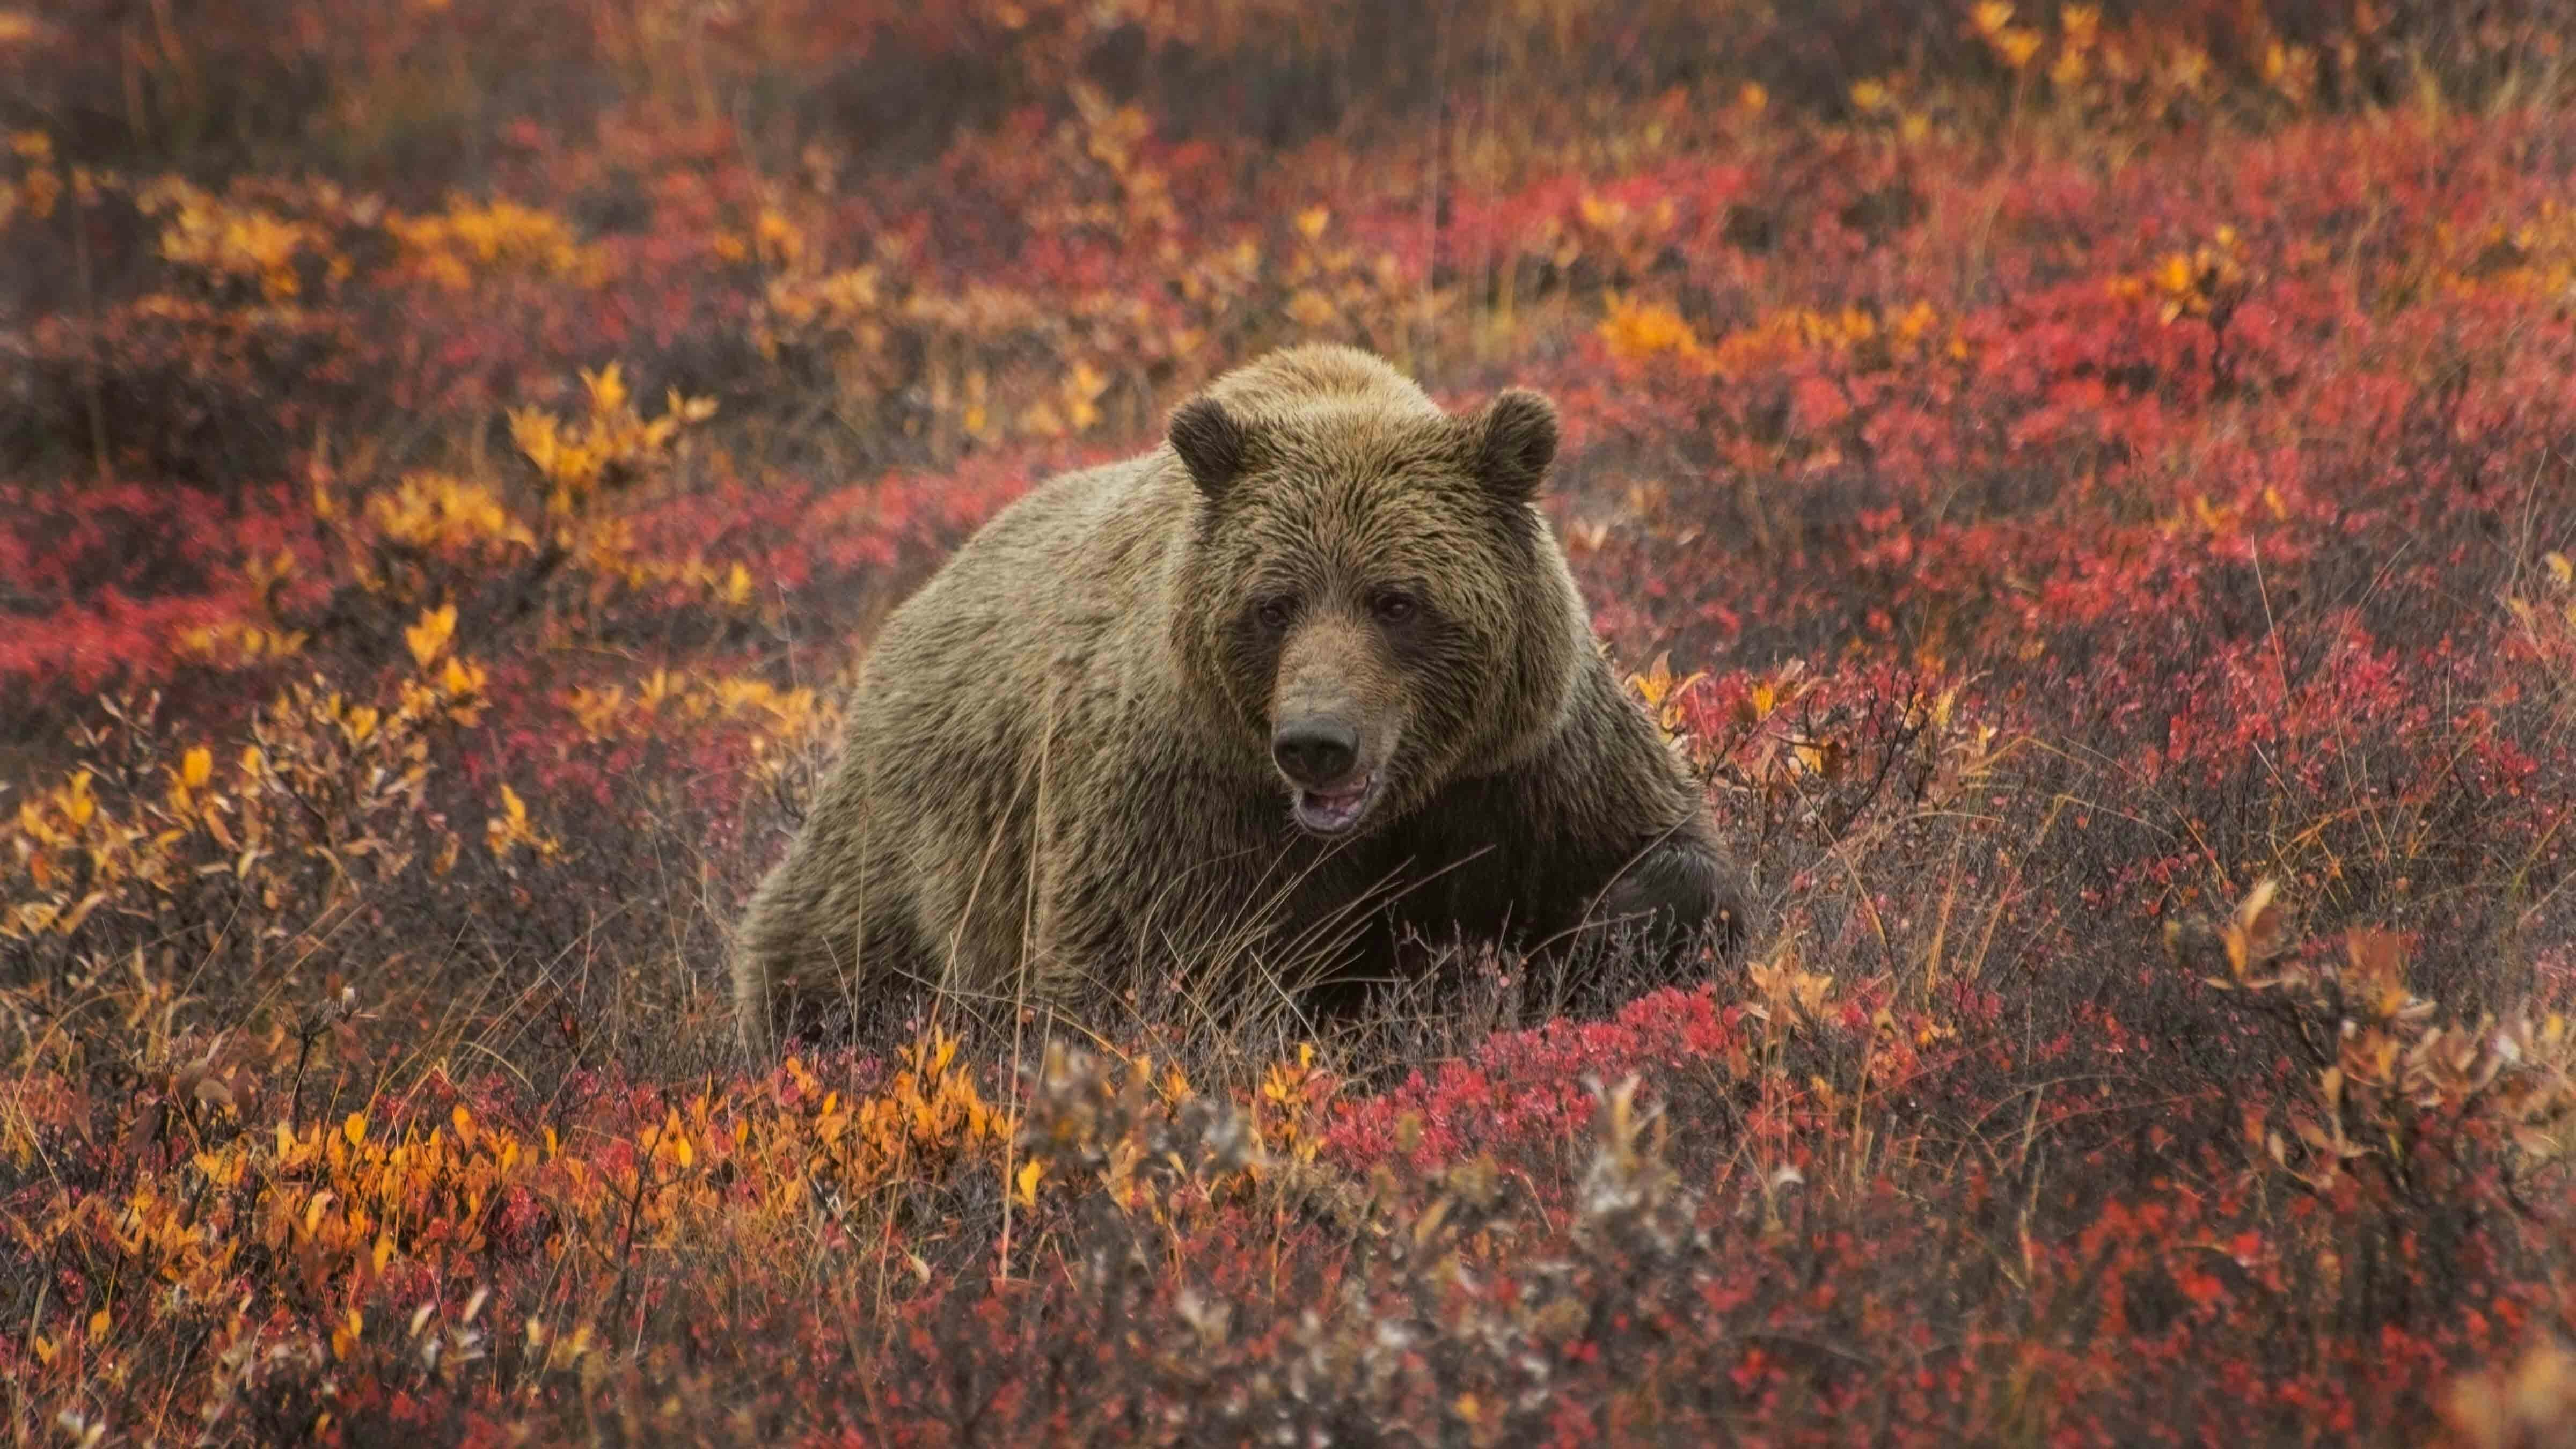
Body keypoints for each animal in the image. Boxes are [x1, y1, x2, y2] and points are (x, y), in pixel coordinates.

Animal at [731, 343, 1744, 1054]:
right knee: (827, 964)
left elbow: (1665, 858)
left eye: (1397, 599)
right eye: (1275, 602)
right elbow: (1141, 979)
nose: (1318, 741)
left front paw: (1618, 930)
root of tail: (909, 609)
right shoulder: (1184, 799)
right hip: (907, 850)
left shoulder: (1527, 761)